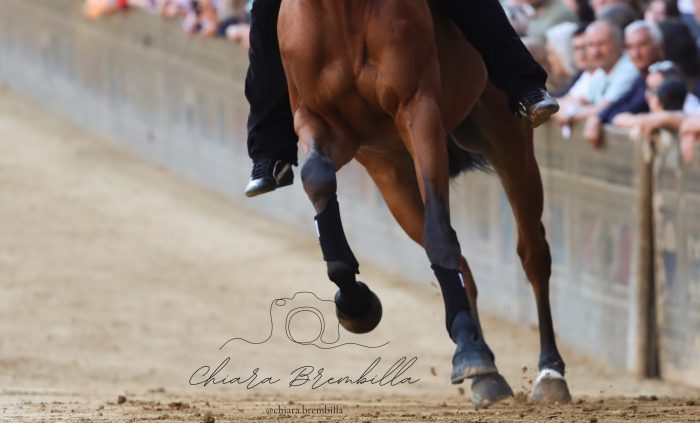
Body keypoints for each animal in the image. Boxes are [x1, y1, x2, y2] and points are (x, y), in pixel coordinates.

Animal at [277, 0, 572, 408]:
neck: (342, 14)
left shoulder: (419, 111)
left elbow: (440, 235)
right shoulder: (323, 123)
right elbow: (317, 177)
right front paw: (356, 304)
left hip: (509, 142)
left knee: (533, 255)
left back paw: (549, 373)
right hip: (392, 176)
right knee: (465, 268)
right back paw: (485, 370)